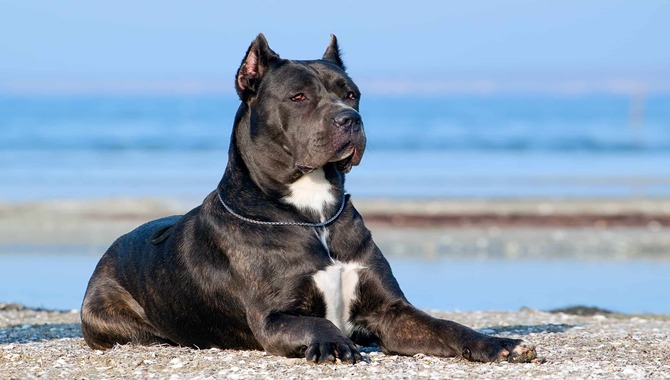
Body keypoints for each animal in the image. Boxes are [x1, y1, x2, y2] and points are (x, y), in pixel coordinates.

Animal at [81, 34, 540, 364]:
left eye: (352, 93)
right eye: (298, 97)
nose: (350, 119)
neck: (313, 214)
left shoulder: (392, 311)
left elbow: (445, 326)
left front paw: (499, 344)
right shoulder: (274, 318)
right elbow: (318, 326)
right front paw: (335, 344)